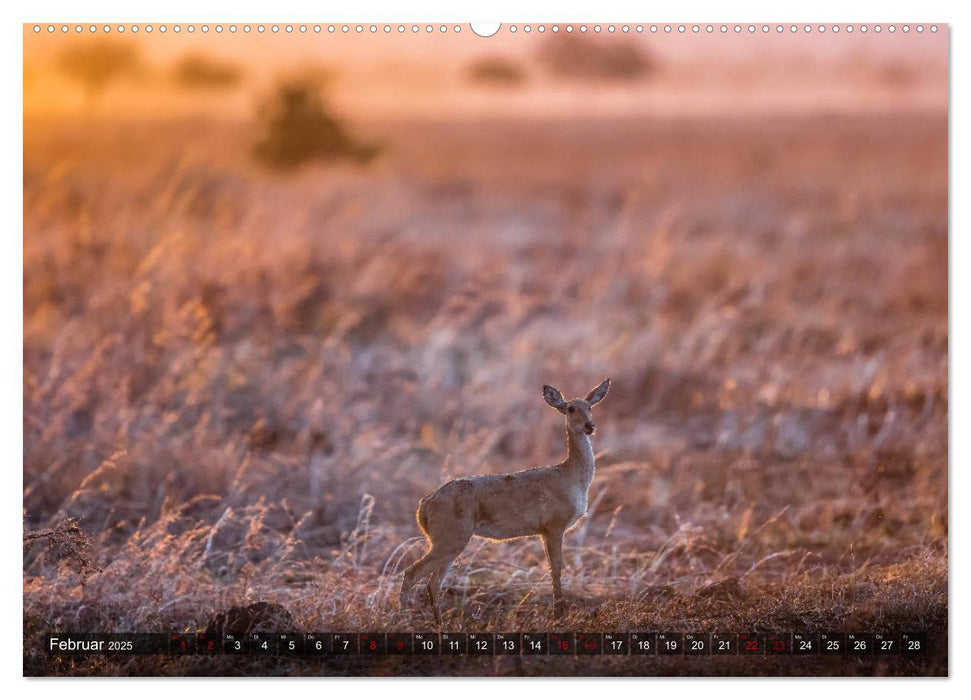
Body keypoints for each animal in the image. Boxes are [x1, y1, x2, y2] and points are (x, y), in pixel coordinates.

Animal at [398, 378, 612, 624]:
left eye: (590, 406)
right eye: (570, 408)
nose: (589, 426)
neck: (571, 478)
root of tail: (423, 507)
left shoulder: (544, 531)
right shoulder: (553, 526)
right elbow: (556, 568)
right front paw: (559, 616)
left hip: (447, 542)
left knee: (433, 582)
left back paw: (439, 624)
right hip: (450, 539)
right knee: (412, 572)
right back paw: (400, 620)